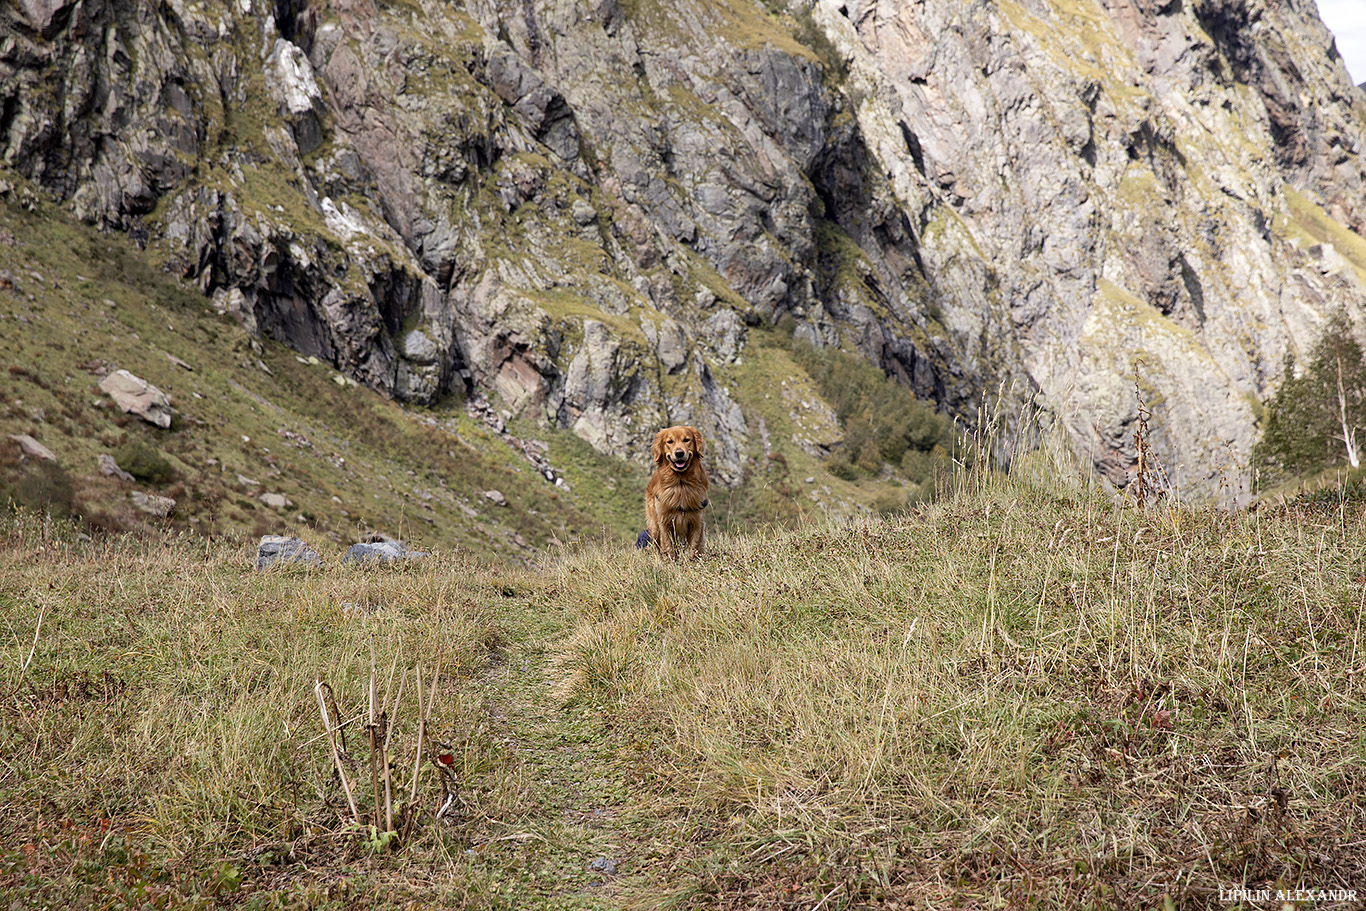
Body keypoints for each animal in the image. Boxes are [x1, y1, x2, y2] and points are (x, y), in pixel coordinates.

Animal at [642, 423, 710, 559]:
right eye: (670, 441)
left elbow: (694, 546)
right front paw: (669, 561)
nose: (679, 453)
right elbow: (668, 546)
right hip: (654, 525)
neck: (680, 484)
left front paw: (692, 561)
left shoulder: (696, 521)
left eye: (687, 440)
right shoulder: (664, 521)